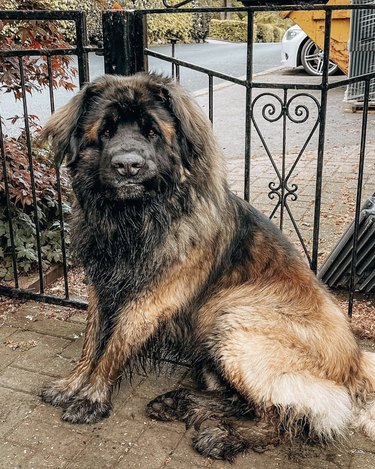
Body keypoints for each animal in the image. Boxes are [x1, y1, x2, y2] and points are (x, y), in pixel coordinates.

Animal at [40, 73, 375, 460]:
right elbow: (92, 339)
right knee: (239, 399)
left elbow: (113, 347)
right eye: (106, 131)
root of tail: (355, 362)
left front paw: (92, 398)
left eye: (152, 131)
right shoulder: (100, 286)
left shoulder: (150, 301)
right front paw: (72, 384)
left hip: (234, 324)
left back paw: (224, 436)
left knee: (282, 418)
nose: (128, 166)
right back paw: (180, 402)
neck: (137, 220)